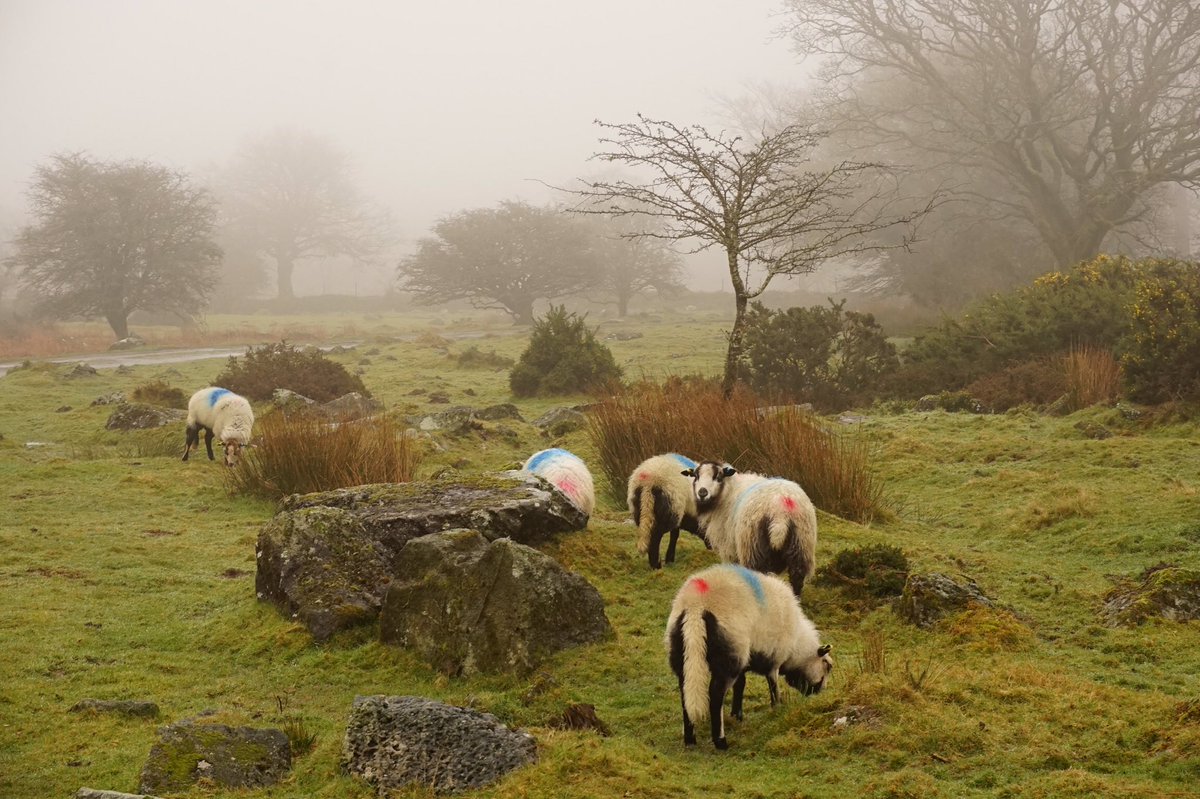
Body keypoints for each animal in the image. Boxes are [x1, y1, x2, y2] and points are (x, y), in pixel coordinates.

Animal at [665, 563, 833, 749]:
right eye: (827, 665)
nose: (819, 693)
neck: (796, 646)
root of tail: (696, 607)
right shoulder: (773, 658)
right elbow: (773, 685)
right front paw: (777, 707)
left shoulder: (745, 661)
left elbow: (741, 685)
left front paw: (737, 714)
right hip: (730, 655)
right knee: (716, 695)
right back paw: (720, 741)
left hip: (684, 653)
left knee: (685, 693)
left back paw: (690, 739)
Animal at [683, 461, 818, 598]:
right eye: (696, 476)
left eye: (718, 476)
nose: (702, 493)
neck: (727, 492)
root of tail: (780, 511)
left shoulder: (729, 548)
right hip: (801, 543)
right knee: (797, 577)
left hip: (753, 546)